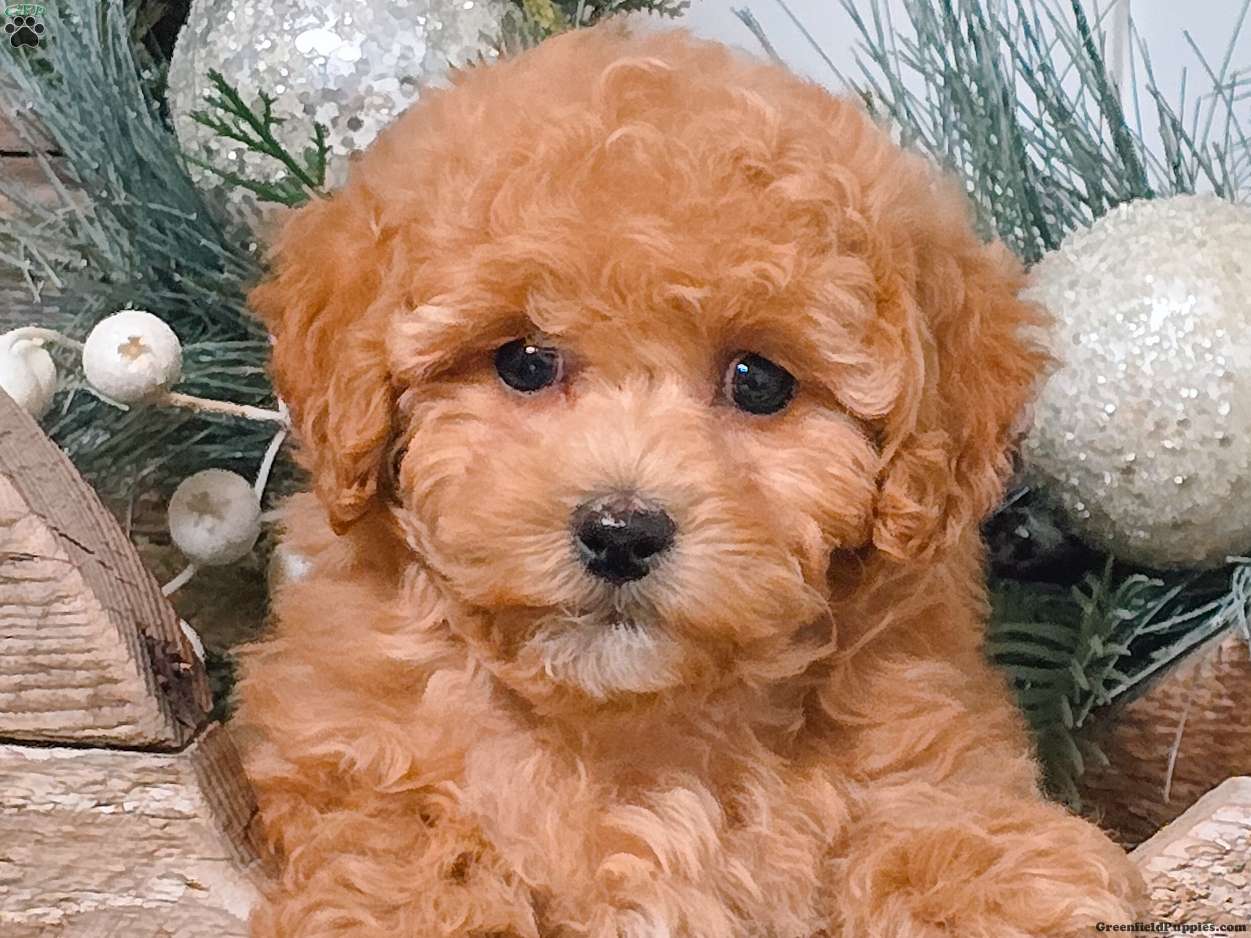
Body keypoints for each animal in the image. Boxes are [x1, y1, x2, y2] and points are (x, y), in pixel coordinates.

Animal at [238, 25, 1144, 938]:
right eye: (522, 361)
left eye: (758, 381)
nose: (620, 531)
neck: (637, 717)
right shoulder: (349, 742)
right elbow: (400, 832)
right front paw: (421, 902)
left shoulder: (926, 719)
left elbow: (931, 807)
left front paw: (996, 888)